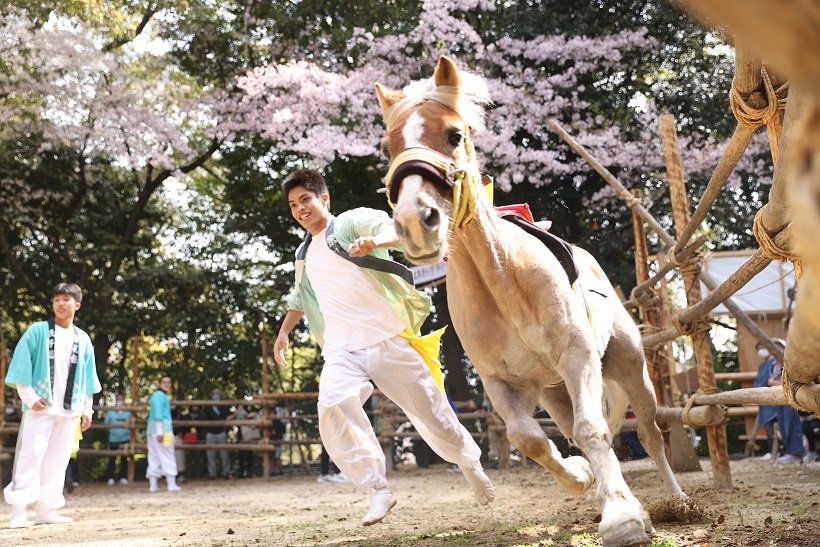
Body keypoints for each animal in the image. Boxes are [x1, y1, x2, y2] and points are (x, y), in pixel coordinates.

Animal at [376, 56, 684, 547]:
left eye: (454, 134)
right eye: (389, 147)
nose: (414, 222)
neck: (505, 284)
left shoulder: (578, 357)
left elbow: (593, 429)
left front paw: (623, 518)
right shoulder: (501, 382)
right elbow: (530, 439)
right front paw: (583, 480)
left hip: (629, 366)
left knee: (651, 433)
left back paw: (674, 499)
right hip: (555, 390)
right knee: (570, 428)